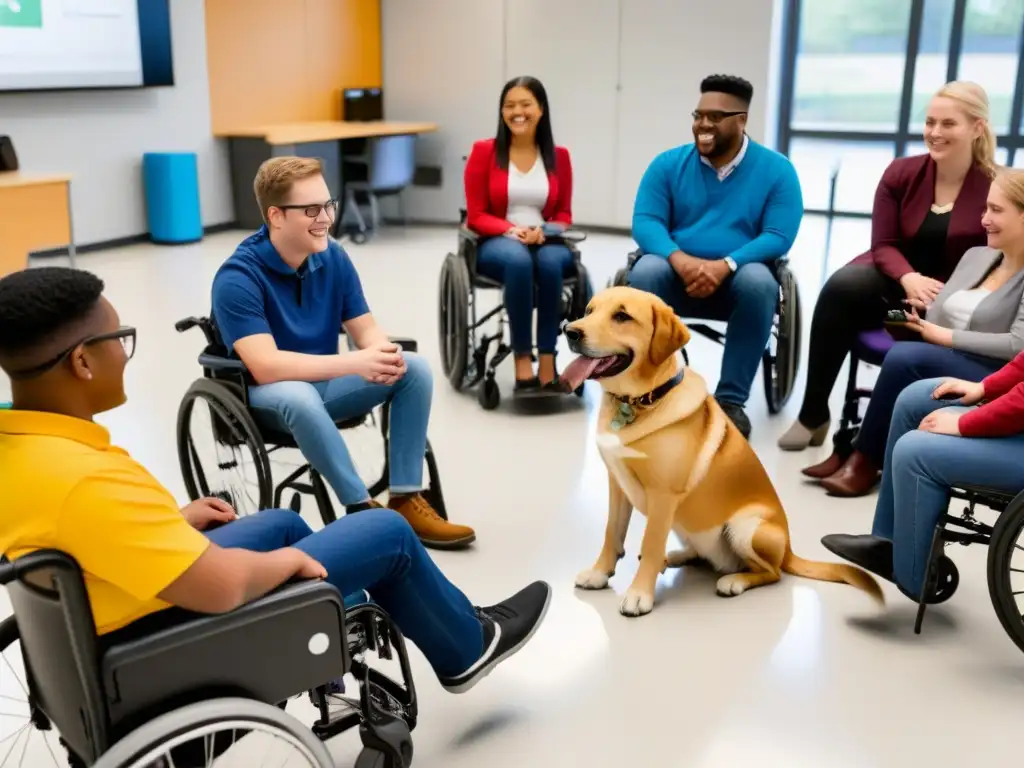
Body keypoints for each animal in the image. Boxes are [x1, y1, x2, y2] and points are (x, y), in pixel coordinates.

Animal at [557, 286, 884, 618]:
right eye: (588, 311)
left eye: (622, 316)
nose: (569, 331)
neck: (641, 401)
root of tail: (790, 550)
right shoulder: (618, 485)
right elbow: (612, 533)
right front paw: (600, 573)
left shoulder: (663, 495)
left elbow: (650, 543)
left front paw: (639, 595)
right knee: (702, 552)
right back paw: (676, 556)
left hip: (744, 527)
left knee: (772, 572)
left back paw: (734, 580)